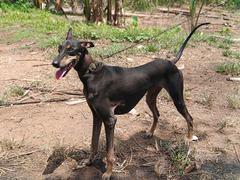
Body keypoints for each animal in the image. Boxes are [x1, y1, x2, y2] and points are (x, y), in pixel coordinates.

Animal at [51, 22, 209, 180]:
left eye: (71, 50)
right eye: (59, 48)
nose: (54, 63)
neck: (92, 73)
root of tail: (171, 62)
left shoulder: (109, 120)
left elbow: (109, 152)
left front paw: (108, 173)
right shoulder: (96, 116)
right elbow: (93, 143)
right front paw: (89, 161)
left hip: (177, 98)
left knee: (189, 117)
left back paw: (189, 139)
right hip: (150, 97)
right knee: (157, 114)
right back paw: (150, 132)